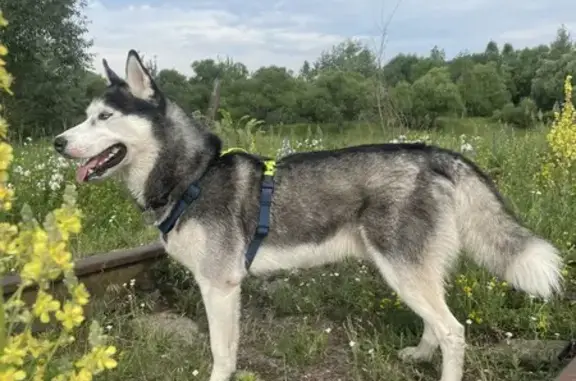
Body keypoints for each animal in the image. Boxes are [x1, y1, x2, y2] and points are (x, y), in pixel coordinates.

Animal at [54, 51, 564, 380]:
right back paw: (420, 354)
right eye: (85, 115)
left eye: (103, 117)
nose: (58, 142)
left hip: (401, 269)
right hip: (411, 270)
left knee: (454, 331)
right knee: (436, 325)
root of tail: (431, 153)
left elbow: (221, 354)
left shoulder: (219, 285)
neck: (193, 176)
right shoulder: (224, 287)